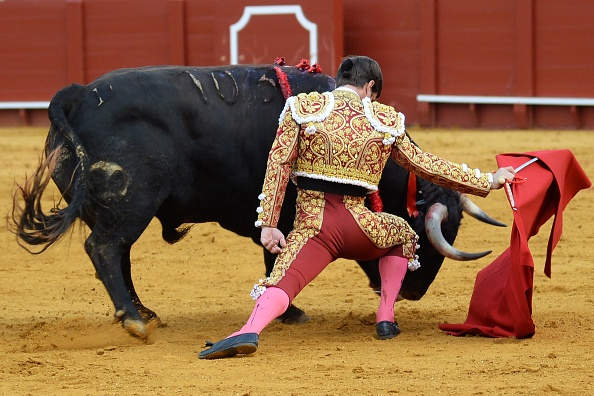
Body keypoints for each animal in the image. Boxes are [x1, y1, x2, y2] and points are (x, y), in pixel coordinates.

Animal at [10, 64, 500, 338]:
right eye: (431, 234)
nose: (414, 292)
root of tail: (76, 95)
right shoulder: (283, 210)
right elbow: (274, 256)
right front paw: (293, 312)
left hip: (118, 211)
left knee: (118, 254)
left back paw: (143, 311)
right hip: (130, 203)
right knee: (106, 249)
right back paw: (133, 319)